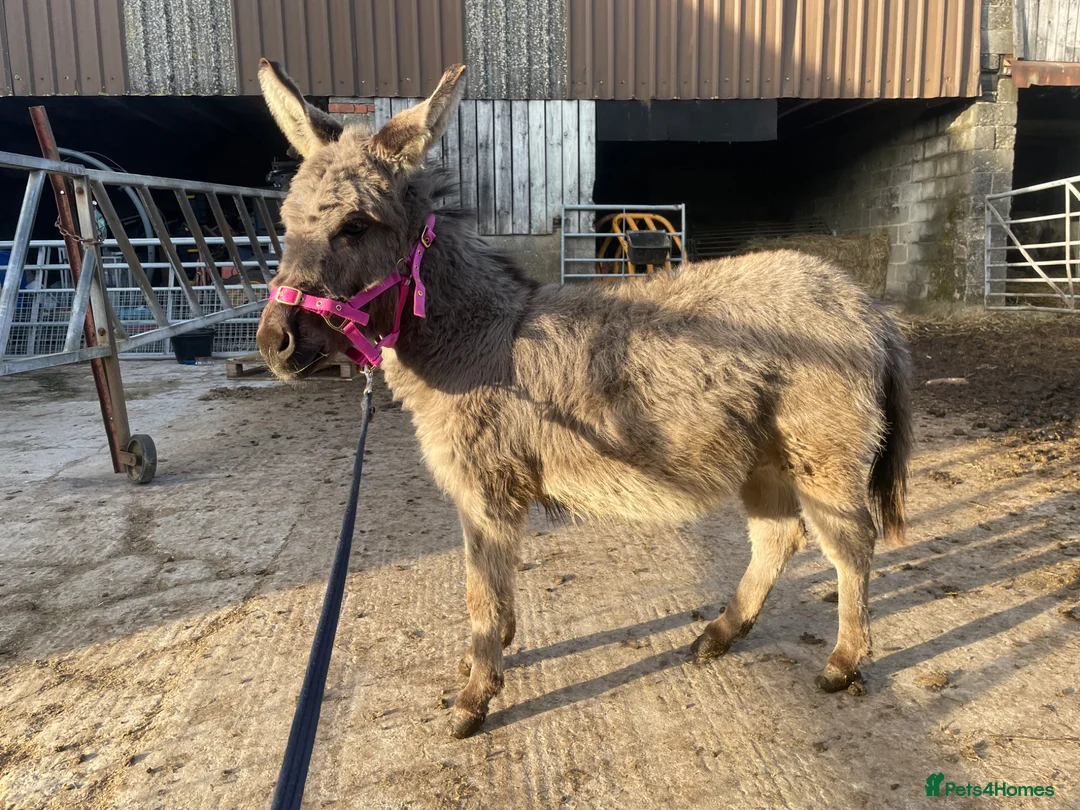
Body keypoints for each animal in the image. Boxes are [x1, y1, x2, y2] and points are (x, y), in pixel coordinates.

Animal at [254, 60, 913, 739]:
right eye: (285, 226)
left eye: (354, 227)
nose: (273, 344)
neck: (479, 337)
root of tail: (865, 306)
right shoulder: (484, 497)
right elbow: (490, 584)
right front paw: (489, 654)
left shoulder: (487, 491)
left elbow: (480, 589)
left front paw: (475, 696)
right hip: (765, 458)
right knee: (779, 538)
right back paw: (719, 635)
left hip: (824, 457)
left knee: (850, 546)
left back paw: (842, 662)